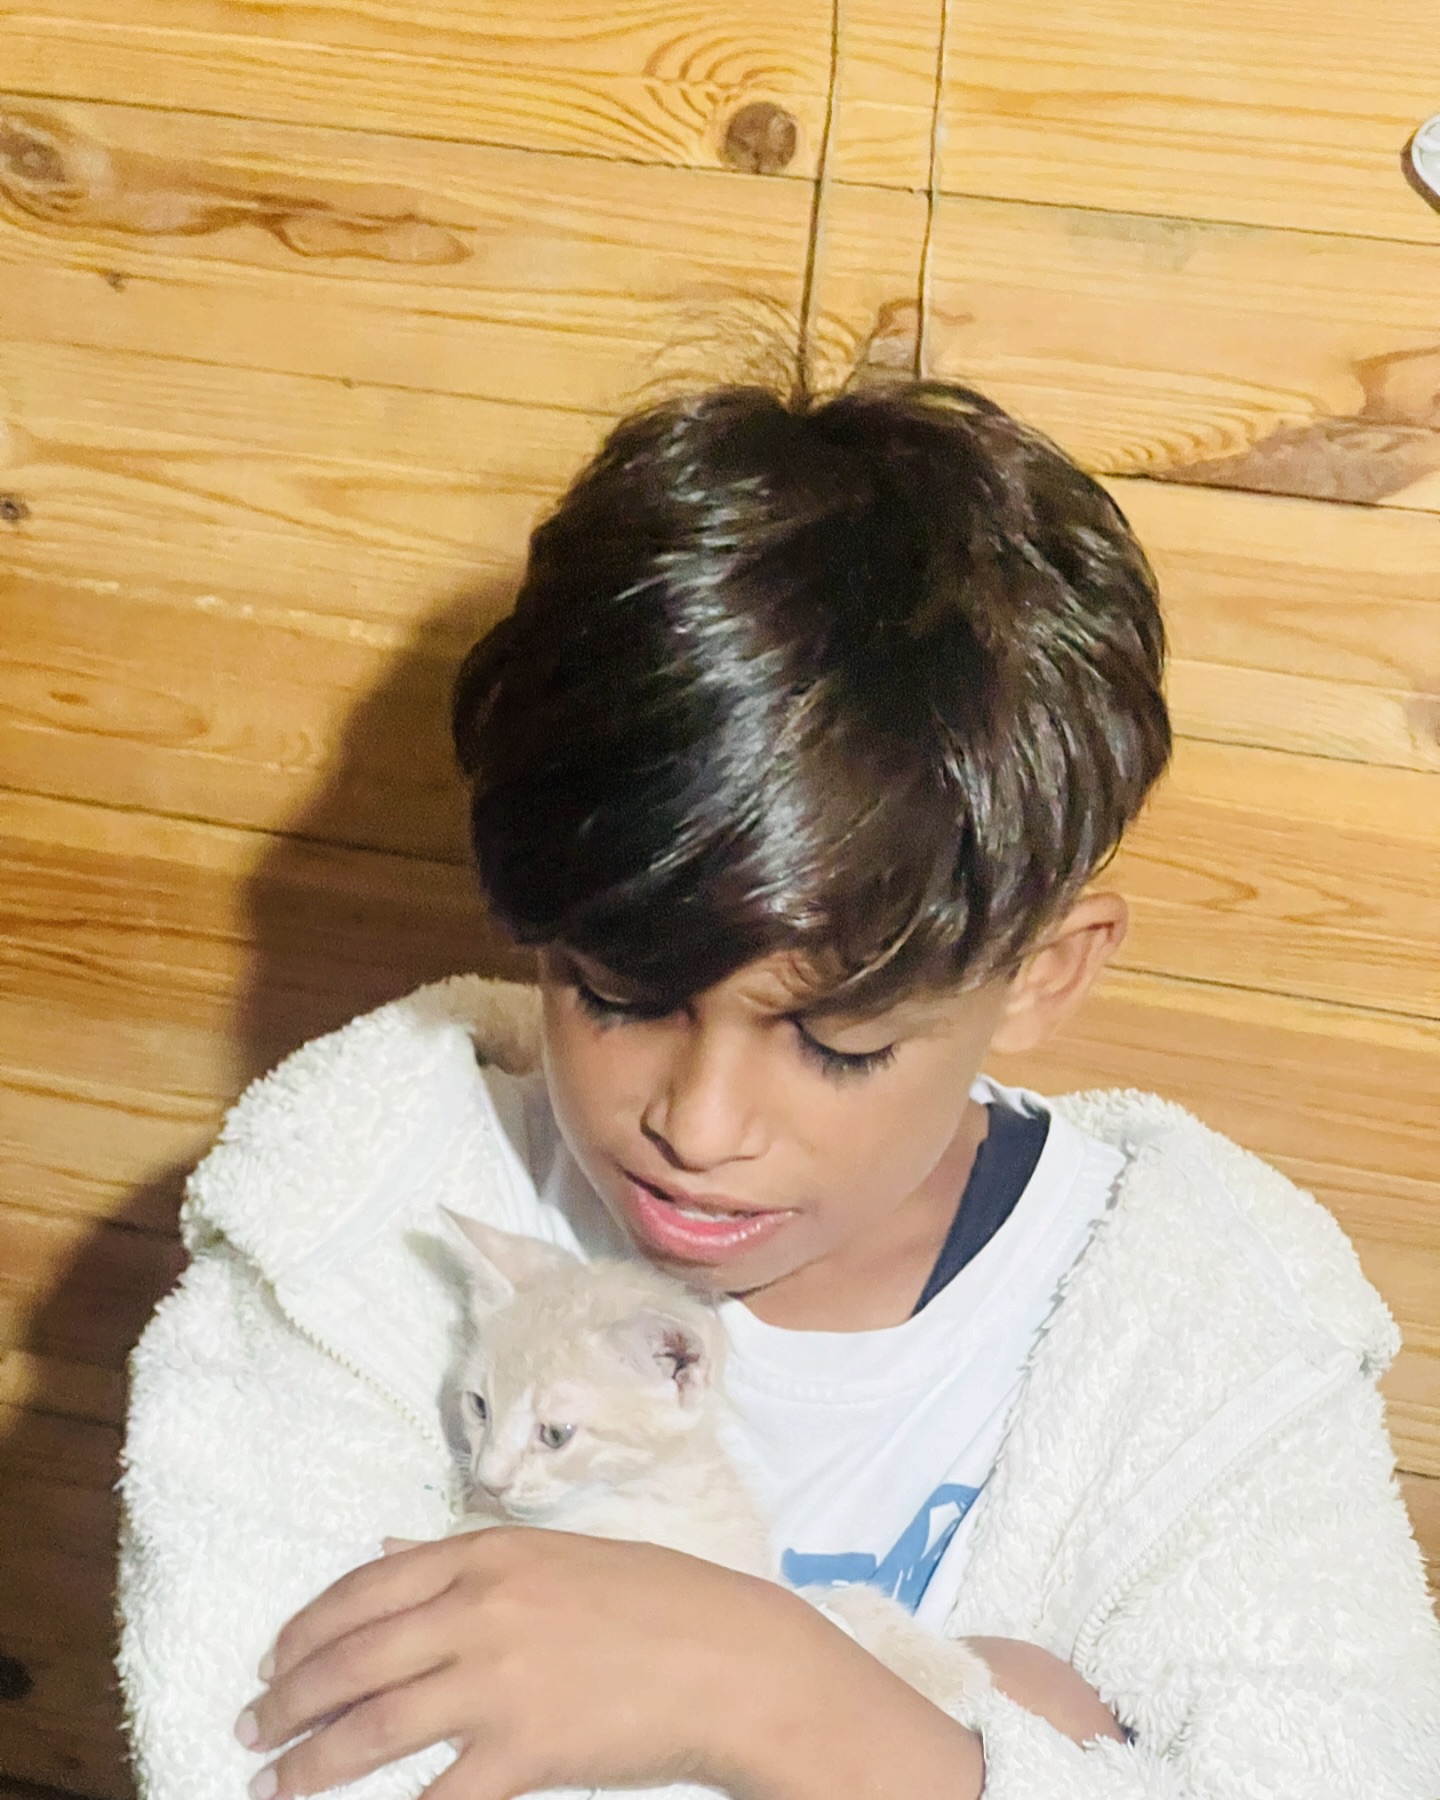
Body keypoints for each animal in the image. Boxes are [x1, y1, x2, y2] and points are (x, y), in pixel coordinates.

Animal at [442, 1210, 991, 1725]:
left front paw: (946, 1667)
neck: (654, 1498)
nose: (489, 1479)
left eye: (555, 1434)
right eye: (480, 1406)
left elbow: (835, 1597)